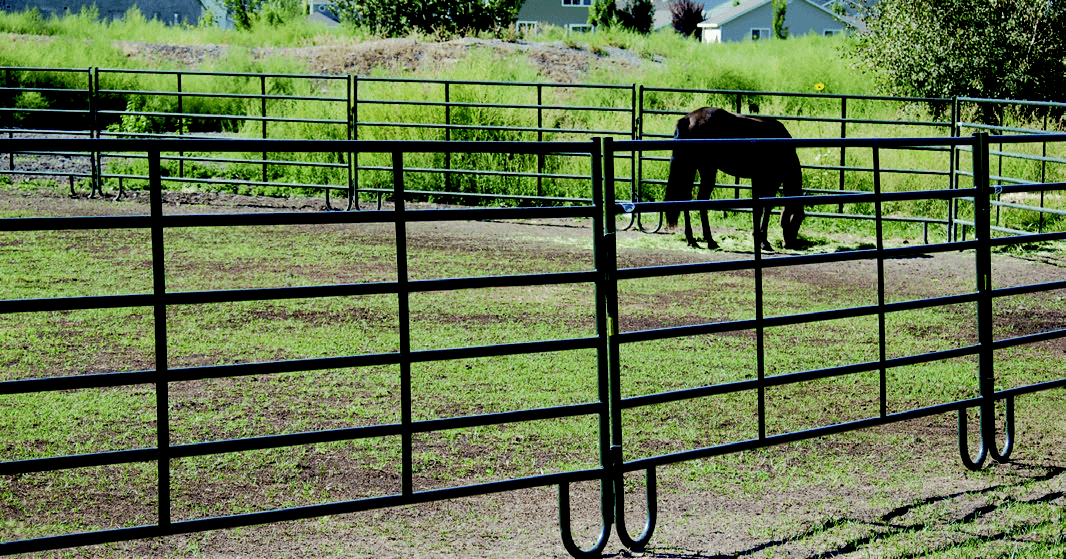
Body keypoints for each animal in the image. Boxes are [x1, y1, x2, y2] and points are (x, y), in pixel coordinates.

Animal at [660, 106, 801, 249]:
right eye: (798, 220)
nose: (790, 244)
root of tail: (688, 118)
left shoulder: (759, 180)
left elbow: (759, 208)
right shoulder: (772, 181)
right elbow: (766, 208)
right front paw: (764, 241)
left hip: (691, 167)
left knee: (686, 198)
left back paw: (692, 239)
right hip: (707, 169)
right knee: (701, 199)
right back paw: (709, 240)